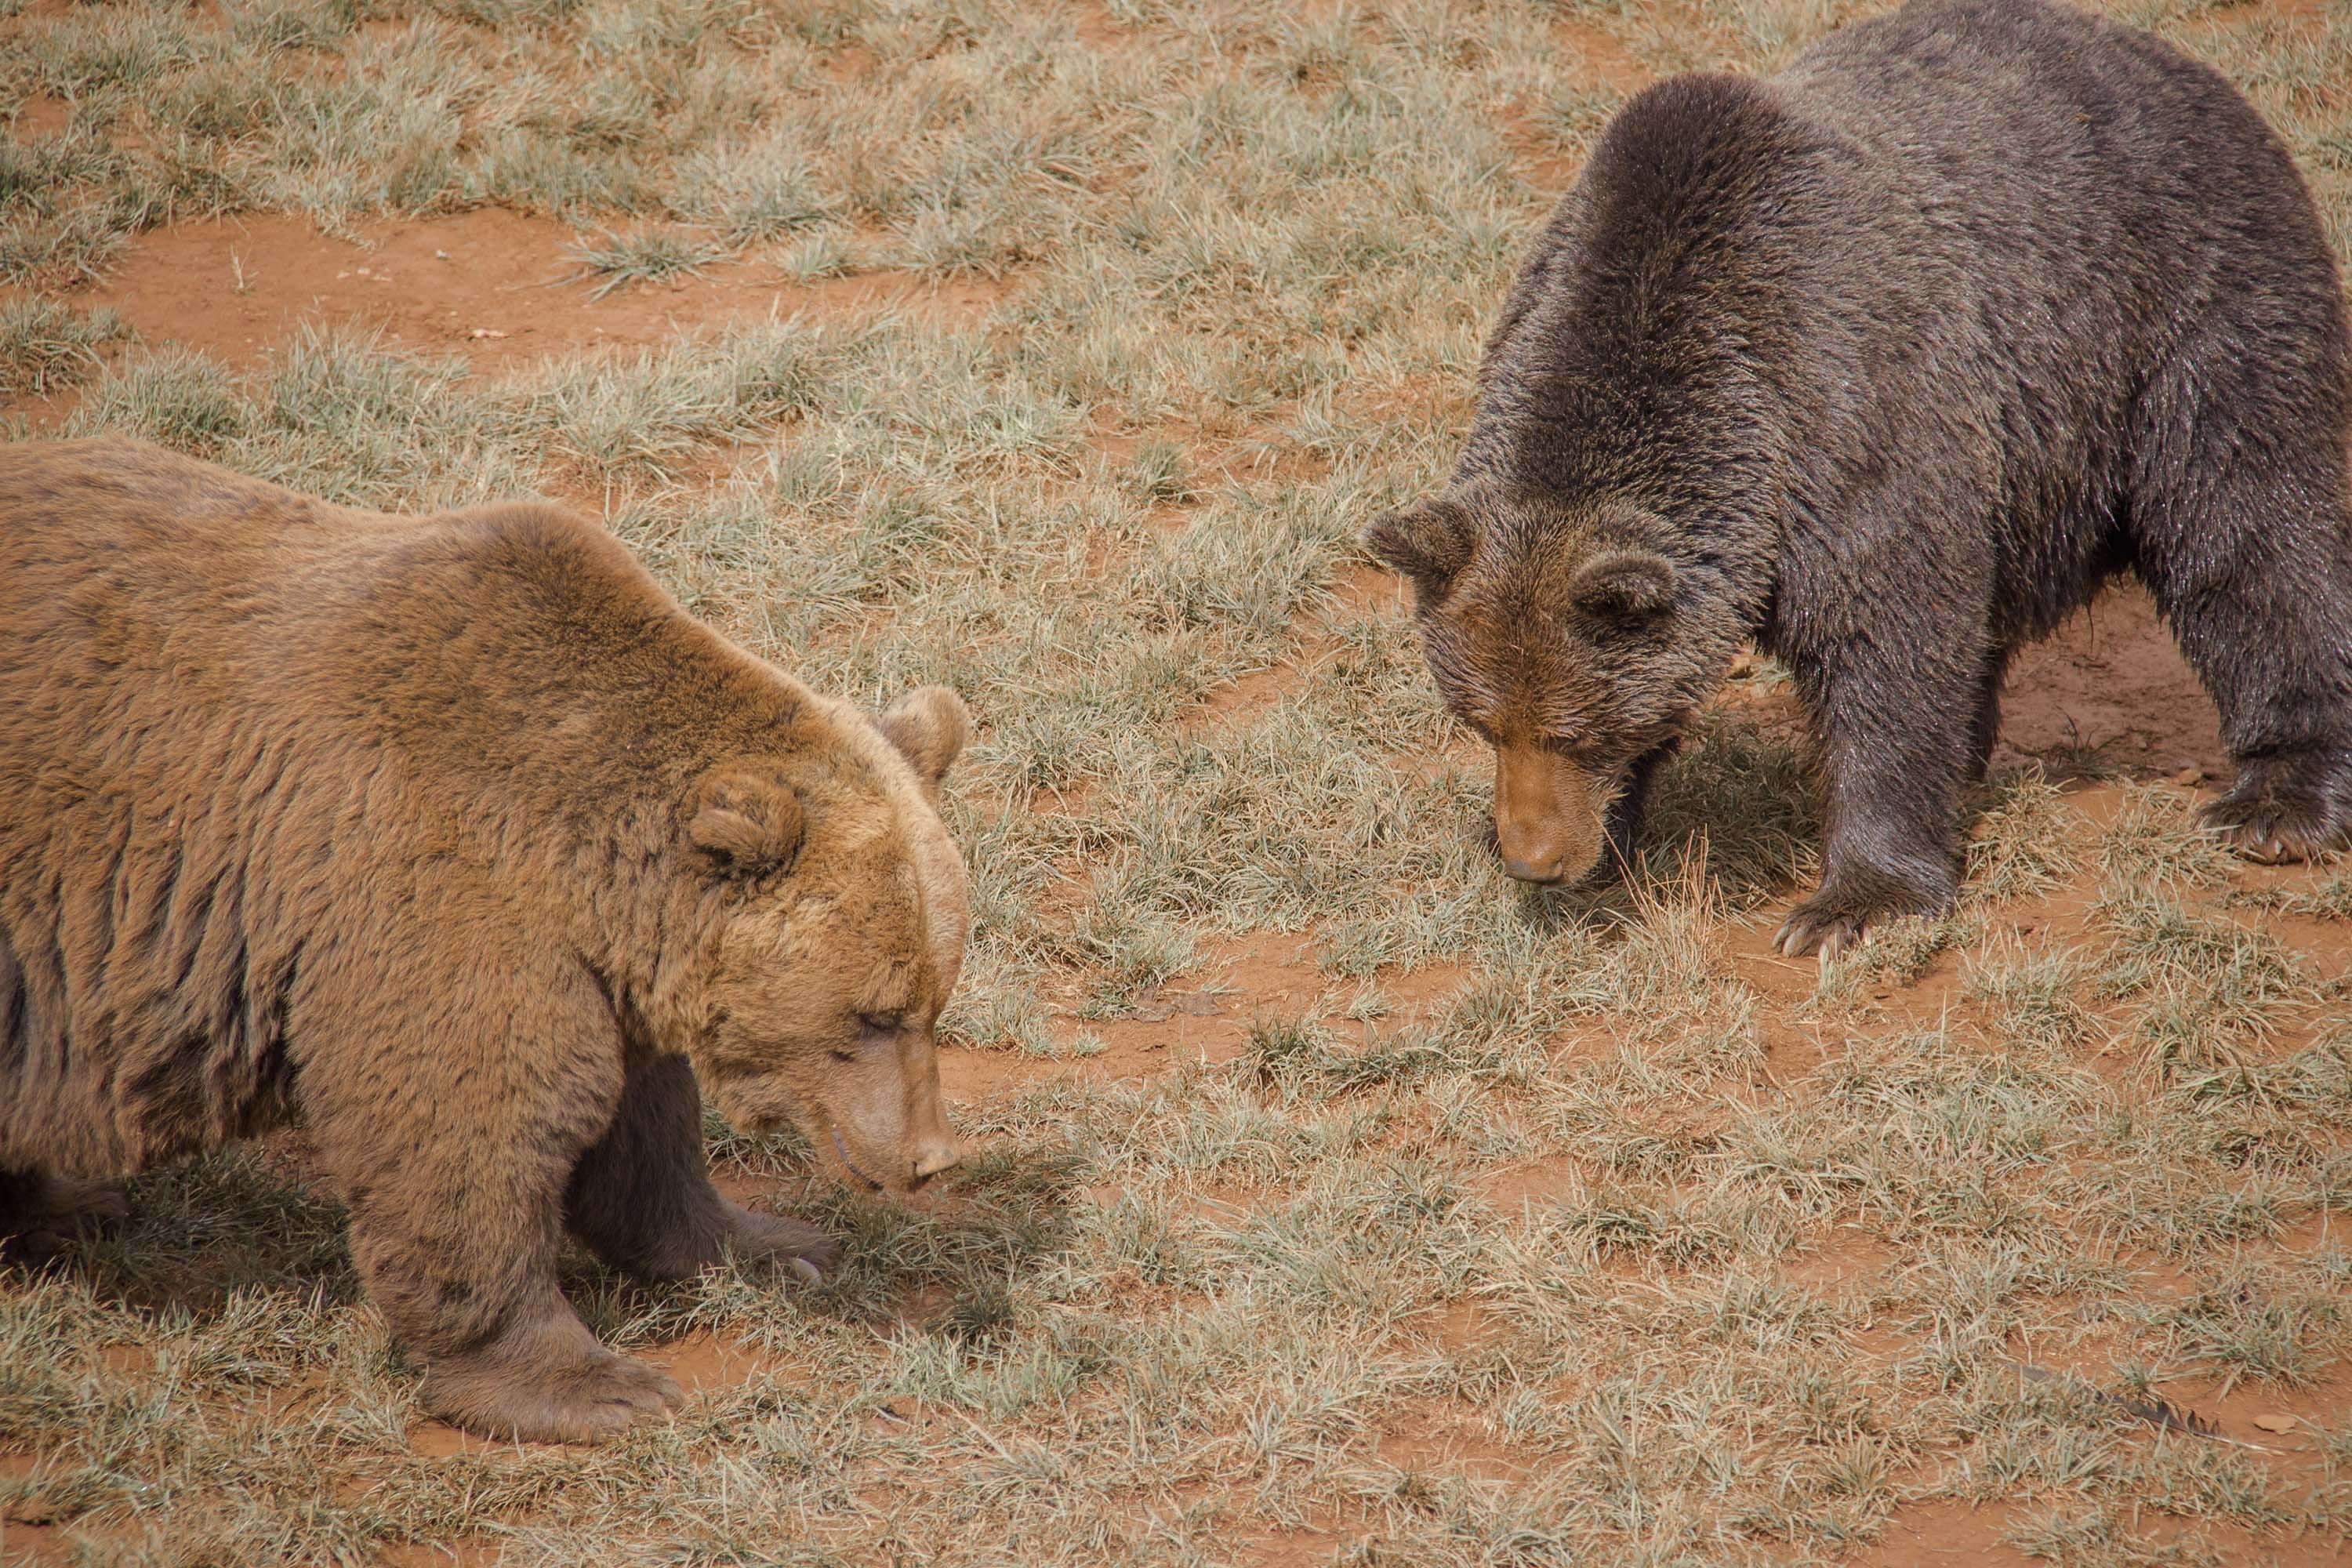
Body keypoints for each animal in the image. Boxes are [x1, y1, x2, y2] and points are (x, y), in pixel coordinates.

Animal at [0, 434, 974, 1439]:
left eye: (935, 999)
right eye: (872, 1014)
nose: (930, 1156)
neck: (583, 858)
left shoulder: (596, 959)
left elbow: (644, 1126)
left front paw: (779, 1244)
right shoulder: (430, 883)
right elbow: (473, 1125)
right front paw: (595, 1383)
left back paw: (75, 1205)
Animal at [1364, 0, 2352, 959]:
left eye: (1576, 728)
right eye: (1481, 719)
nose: (1531, 856)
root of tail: (2173, 61)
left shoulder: (1851, 417)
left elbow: (1888, 647)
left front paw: (1853, 904)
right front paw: (1602, 843)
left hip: (2189, 311)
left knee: (2251, 526)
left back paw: (2279, 801)